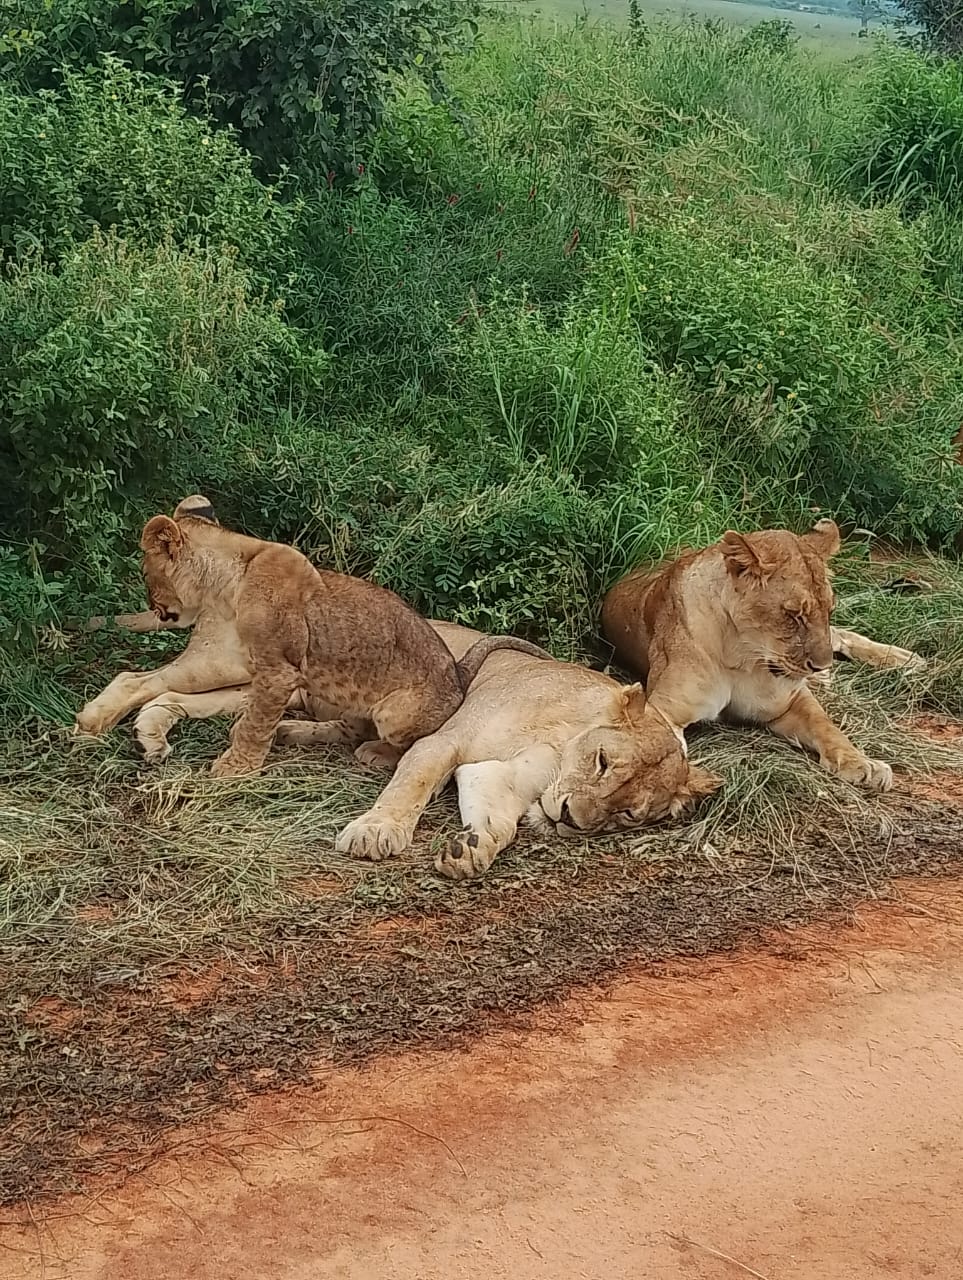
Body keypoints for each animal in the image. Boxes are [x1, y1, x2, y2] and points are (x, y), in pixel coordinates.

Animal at [75, 496, 550, 777]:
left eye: (145, 572)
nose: (153, 605)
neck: (227, 583)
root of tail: (459, 674)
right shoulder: (261, 671)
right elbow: (253, 720)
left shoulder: (278, 673)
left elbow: (255, 725)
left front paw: (234, 767)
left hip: (395, 710)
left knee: (389, 738)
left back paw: (373, 752)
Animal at [601, 519, 925, 792]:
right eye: (794, 615)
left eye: (828, 610)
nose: (820, 665)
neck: (742, 655)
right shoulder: (664, 710)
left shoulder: (790, 701)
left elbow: (827, 727)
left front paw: (862, 763)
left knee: (842, 635)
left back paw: (906, 660)